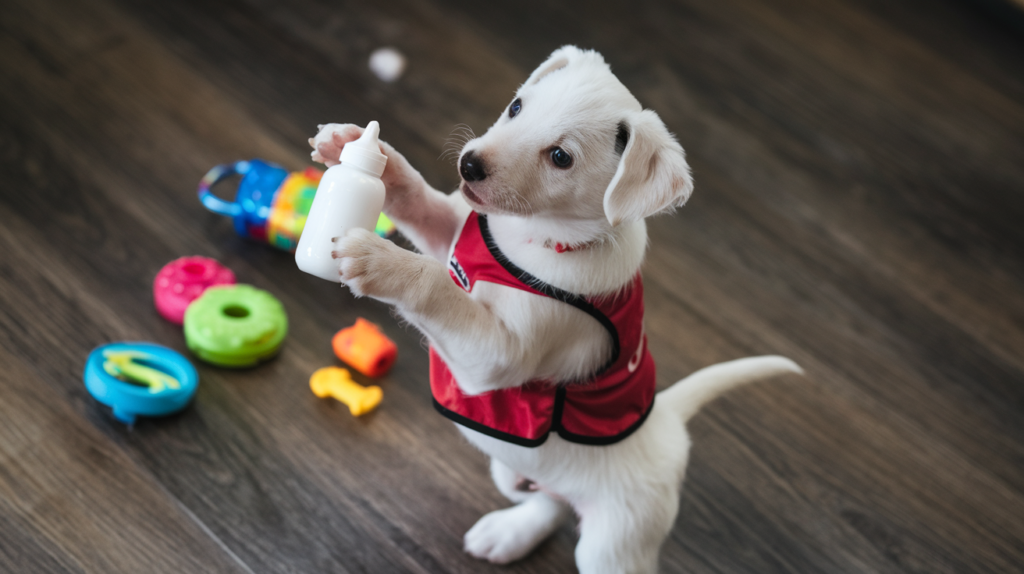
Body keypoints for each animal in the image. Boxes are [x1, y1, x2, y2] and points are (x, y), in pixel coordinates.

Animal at [311, 45, 798, 572]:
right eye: (517, 107)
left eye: (561, 157)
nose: (469, 166)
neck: (541, 238)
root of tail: (669, 420)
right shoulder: (456, 235)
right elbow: (421, 202)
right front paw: (364, 151)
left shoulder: (497, 357)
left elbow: (436, 287)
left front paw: (378, 261)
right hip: (510, 471)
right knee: (549, 501)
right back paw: (509, 533)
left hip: (616, 540)